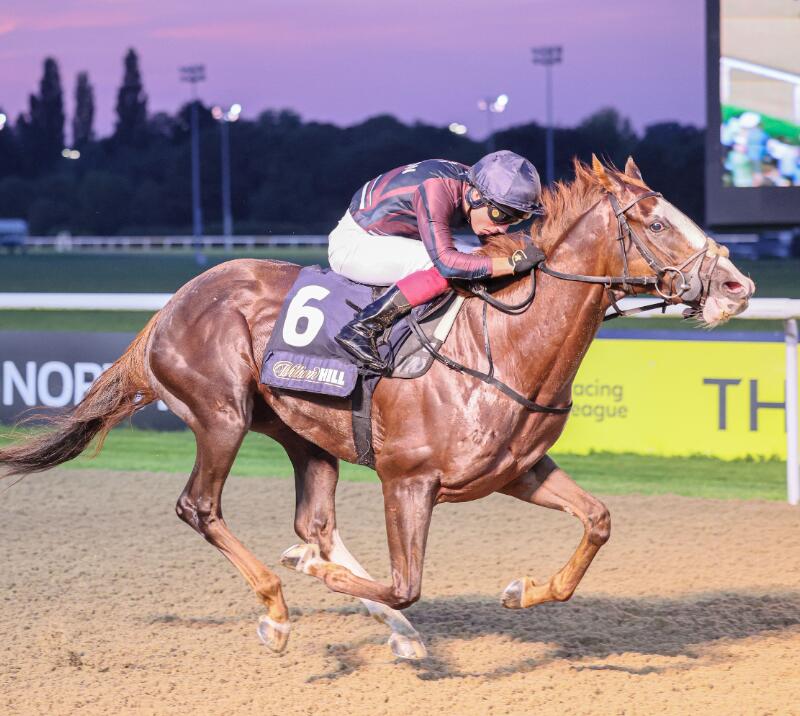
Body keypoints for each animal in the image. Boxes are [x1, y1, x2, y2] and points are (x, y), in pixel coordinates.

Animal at [0, 156, 754, 661]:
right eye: (655, 219)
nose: (738, 286)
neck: (504, 343)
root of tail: (170, 307)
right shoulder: (408, 481)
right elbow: (405, 583)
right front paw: (317, 579)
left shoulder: (516, 471)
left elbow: (597, 522)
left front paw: (522, 590)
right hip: (221, 416)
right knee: (201, 507)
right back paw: (278, 607)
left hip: (303, 434)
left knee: (315, 521)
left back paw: (380, 624)